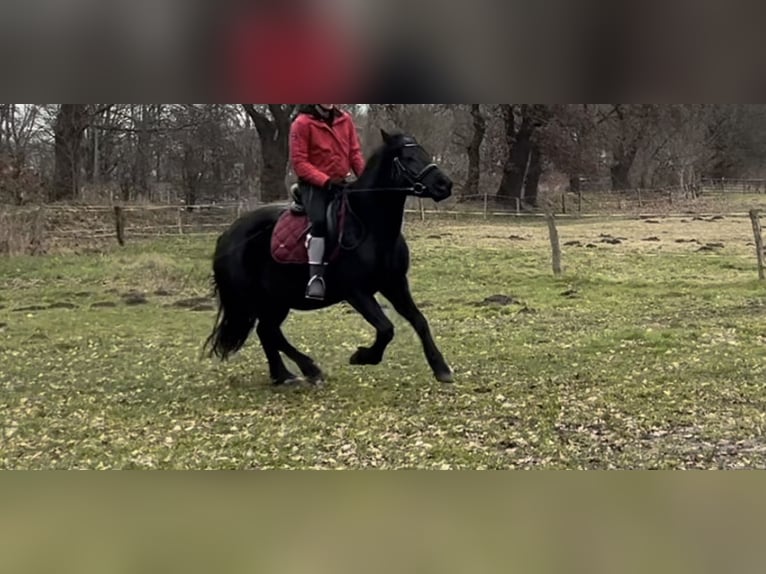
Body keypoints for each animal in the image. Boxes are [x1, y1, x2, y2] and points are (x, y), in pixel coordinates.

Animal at [206, 130, 456, 388]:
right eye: (407, 158)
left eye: (424, 152)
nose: (444, 184)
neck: (370, 227)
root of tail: (227, 236)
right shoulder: (356, 292)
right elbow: (386, 329)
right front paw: (362, 356)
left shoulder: (394, 284)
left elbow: (419, 320)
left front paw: (441, 368)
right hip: (260, 299)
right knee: (270, 332)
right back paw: (309, 369)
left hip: (276, 300)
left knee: (267, 331)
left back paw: (284, 375)